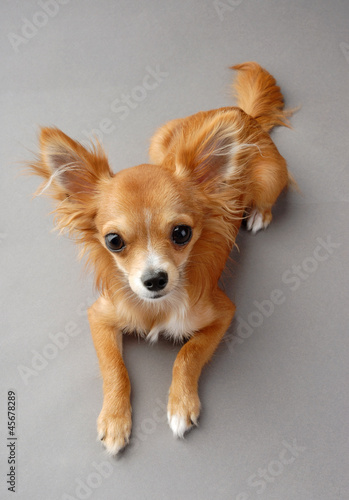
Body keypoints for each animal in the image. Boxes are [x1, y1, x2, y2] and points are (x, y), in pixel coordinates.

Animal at [28, 61, 294, 454]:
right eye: (114, 241)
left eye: (182, 234)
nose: (154, 279)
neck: (156, 308)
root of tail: (243, 115)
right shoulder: (100, 317)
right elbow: (114, 369)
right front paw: (114, 419)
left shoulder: (223, 315)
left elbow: (188, 354)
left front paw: (181, 405)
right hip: (159, 140)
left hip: (271, 177)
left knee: (266, 196)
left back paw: (259, 214)